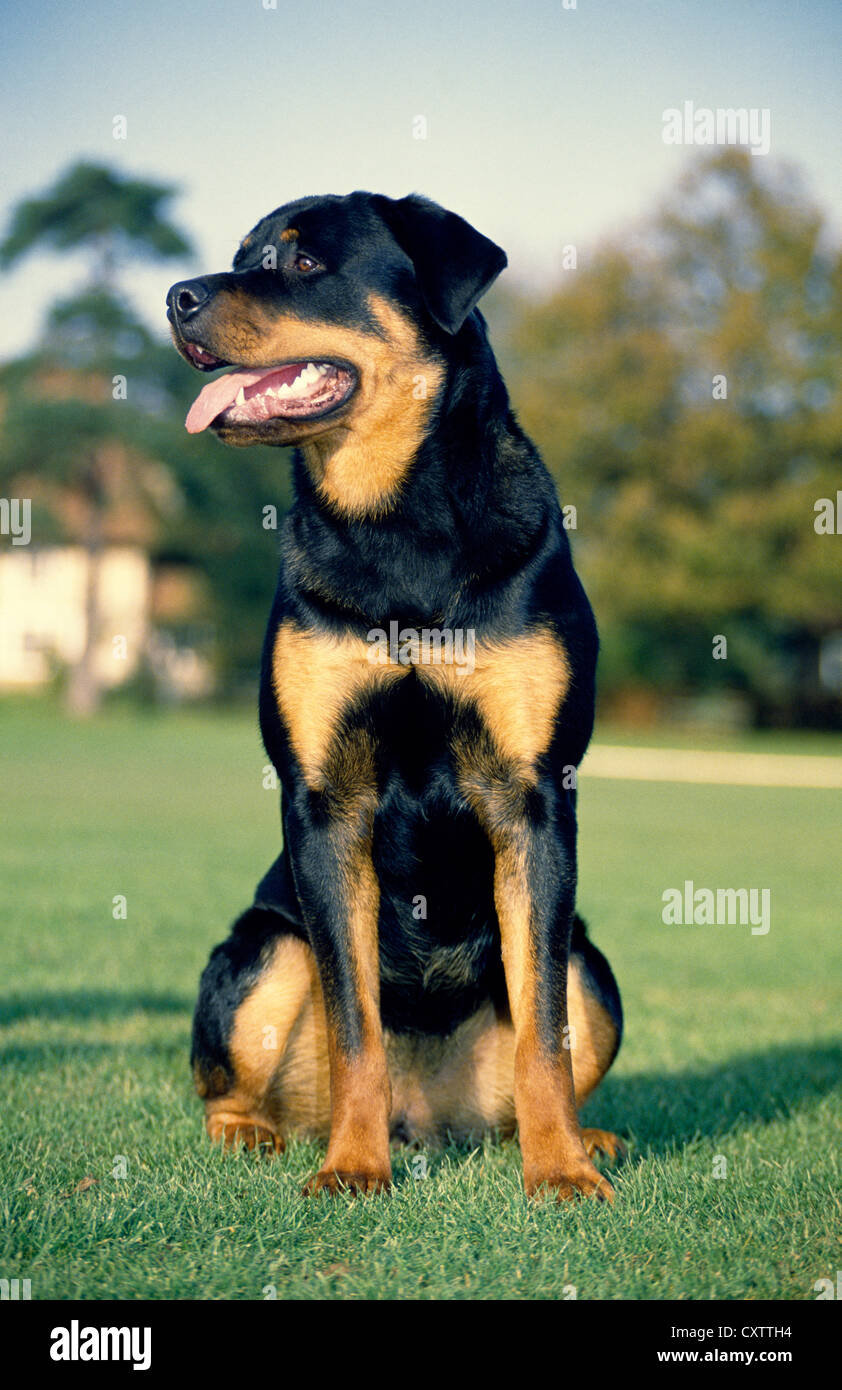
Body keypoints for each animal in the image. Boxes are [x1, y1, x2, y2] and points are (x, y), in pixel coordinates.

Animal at [168, 190, 622, 1200]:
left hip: (594, 964)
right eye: (241, 257)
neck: (397, 517)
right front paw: (350, 1167)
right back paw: (257, 1135)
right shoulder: (326, 801)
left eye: (302, 265)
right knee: (229, 1080)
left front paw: (562, 1174)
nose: (177, 296)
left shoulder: (534, 797)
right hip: (260, 951)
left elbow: (544, 1032)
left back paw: (589, 1139)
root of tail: (434, 1122)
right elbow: (354, 1025)